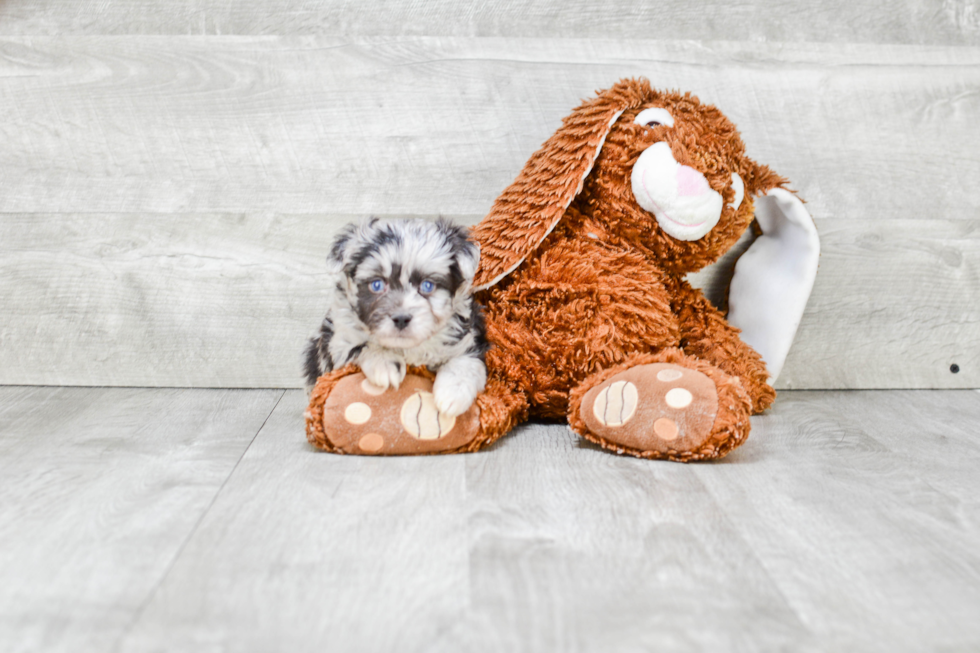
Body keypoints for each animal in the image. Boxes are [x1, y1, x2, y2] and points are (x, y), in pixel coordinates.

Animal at [304, 216, 488, 416]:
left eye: (427, 286)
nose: (401, 319)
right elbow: (361, 345)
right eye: (377, 285)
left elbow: (465, 361)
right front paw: (385, 363)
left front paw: (453, 394)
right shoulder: (336, 341)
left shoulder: (469, 336)